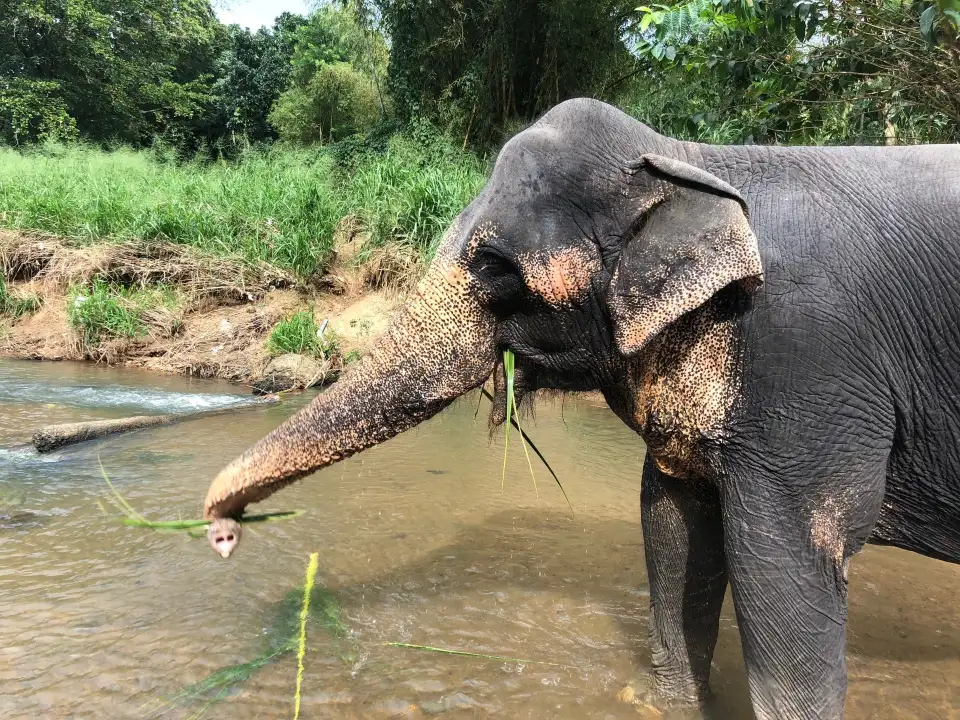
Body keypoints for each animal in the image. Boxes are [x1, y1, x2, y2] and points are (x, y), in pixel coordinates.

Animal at [201, 98, 960, 719]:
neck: (688, 157)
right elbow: (672, 530)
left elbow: (791, 566)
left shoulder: (808, 365)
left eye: (493, 266)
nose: (222, 531)